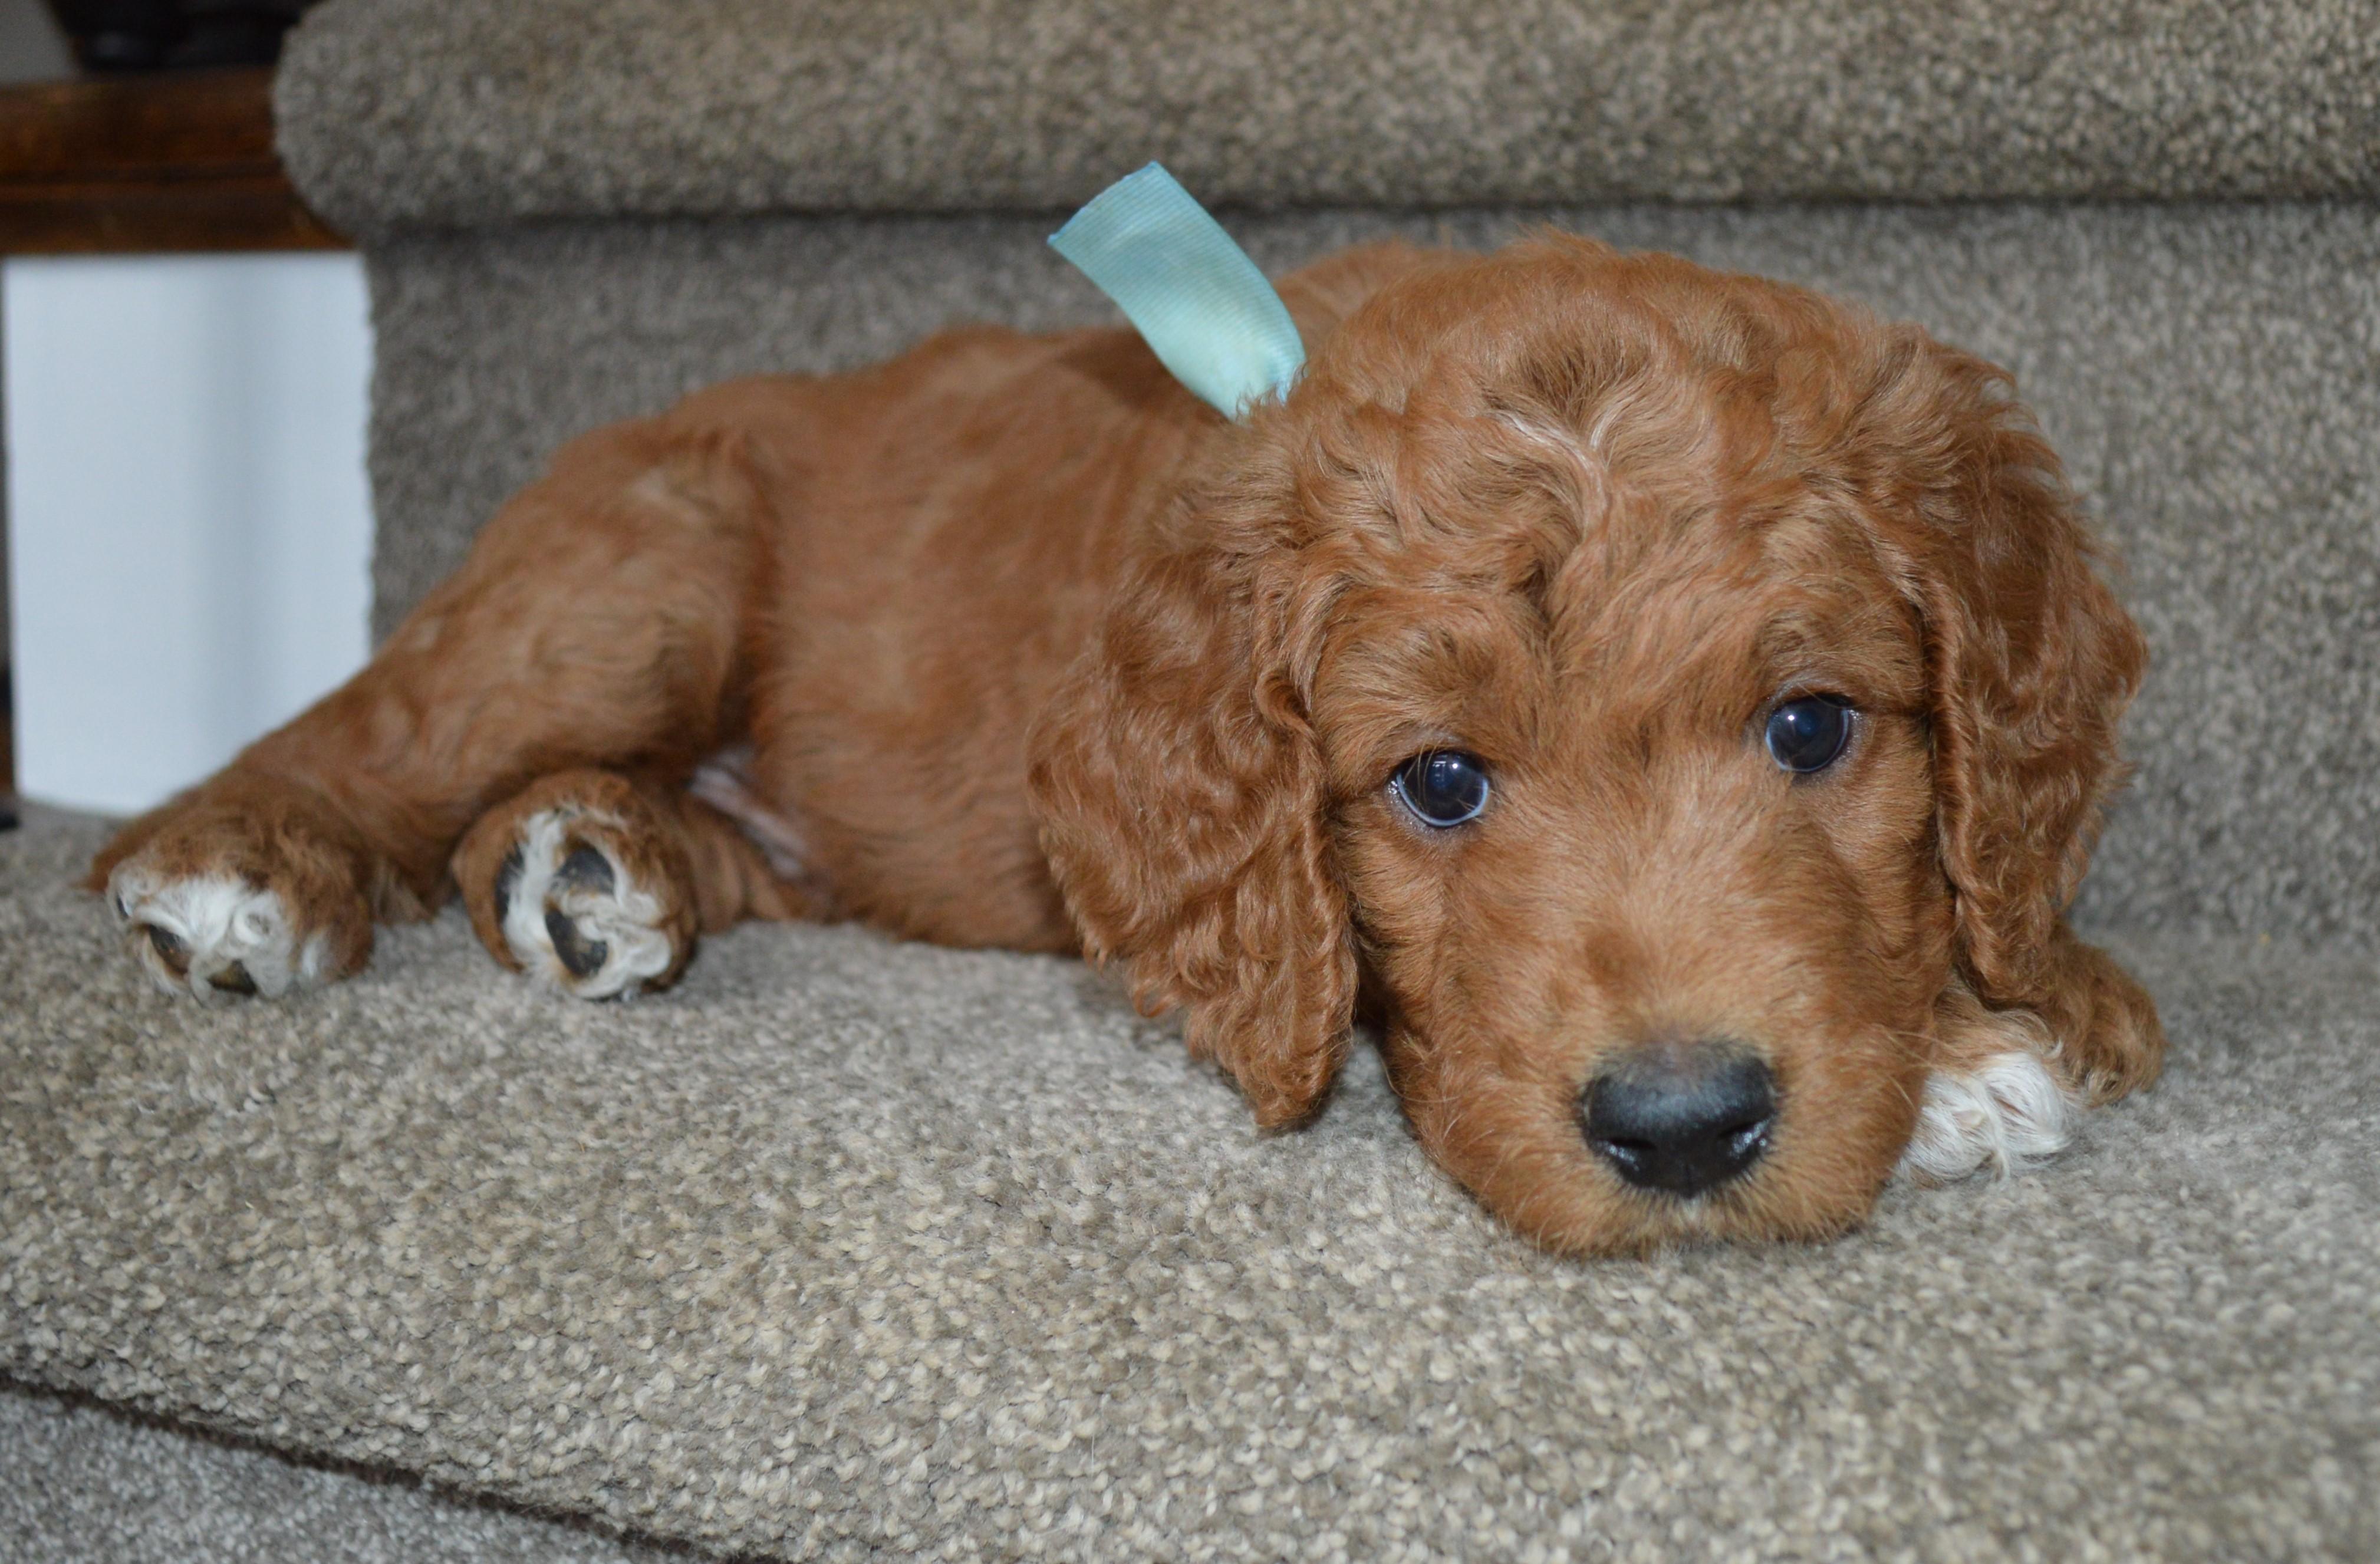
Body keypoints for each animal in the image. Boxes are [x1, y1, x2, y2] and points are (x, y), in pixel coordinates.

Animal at [89, 235, 2165, 1255]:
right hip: (633, 581)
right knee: (379, 729)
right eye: (1437, 781)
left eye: (1812, 723)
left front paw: (2003, 1003)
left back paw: (596, 868)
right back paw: (238, 860)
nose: (1680, 1129)